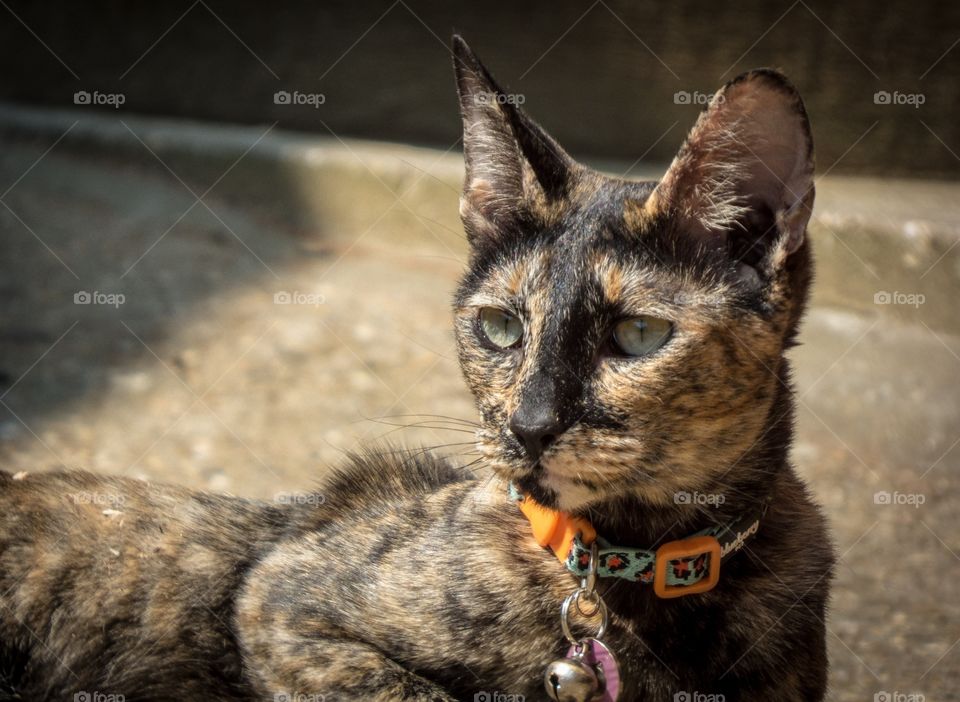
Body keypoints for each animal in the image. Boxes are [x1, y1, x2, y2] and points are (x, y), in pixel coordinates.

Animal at [0, 37, 832, 702]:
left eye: (638, 334)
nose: (529, 427)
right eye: (500, 327)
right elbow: (408, 687)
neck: (633, 569)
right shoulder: (282, 601)